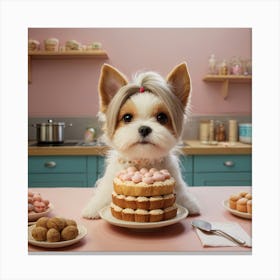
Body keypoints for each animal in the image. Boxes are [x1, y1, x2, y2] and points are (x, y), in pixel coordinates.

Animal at [82, 61, 200, 219]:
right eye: (127, 117)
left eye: (162, 117)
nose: (144, 129)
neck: (143, 161)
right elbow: (103, 194)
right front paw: (93, 208)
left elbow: (181, 193)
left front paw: (189, 204)